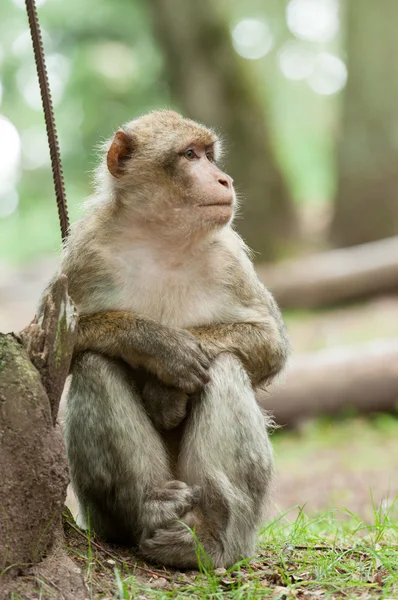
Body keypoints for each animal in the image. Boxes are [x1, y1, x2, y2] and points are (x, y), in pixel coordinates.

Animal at [58, 110, 290, 568]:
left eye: (209, 154)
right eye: (190, 155)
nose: (224, 179)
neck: (161, 238)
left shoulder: (229, 257)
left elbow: (271, 343)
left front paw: (164, 387)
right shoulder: (85, 250)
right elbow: (61, 346)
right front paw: (160, 348)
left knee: (224, 364)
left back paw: (208, 539)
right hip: (105, 516)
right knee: (94, 363)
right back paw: (148, 508)